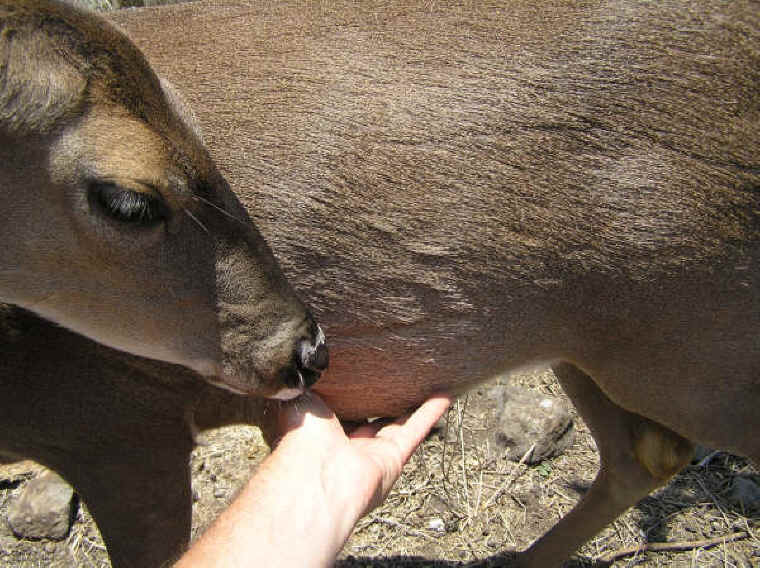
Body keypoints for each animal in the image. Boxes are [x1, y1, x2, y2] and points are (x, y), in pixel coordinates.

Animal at [1, 0, 757, 566]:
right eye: (131, 203)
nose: (310, 349)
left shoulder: (116, 420)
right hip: (603, 338)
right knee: (647, 452)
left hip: (696, 335)